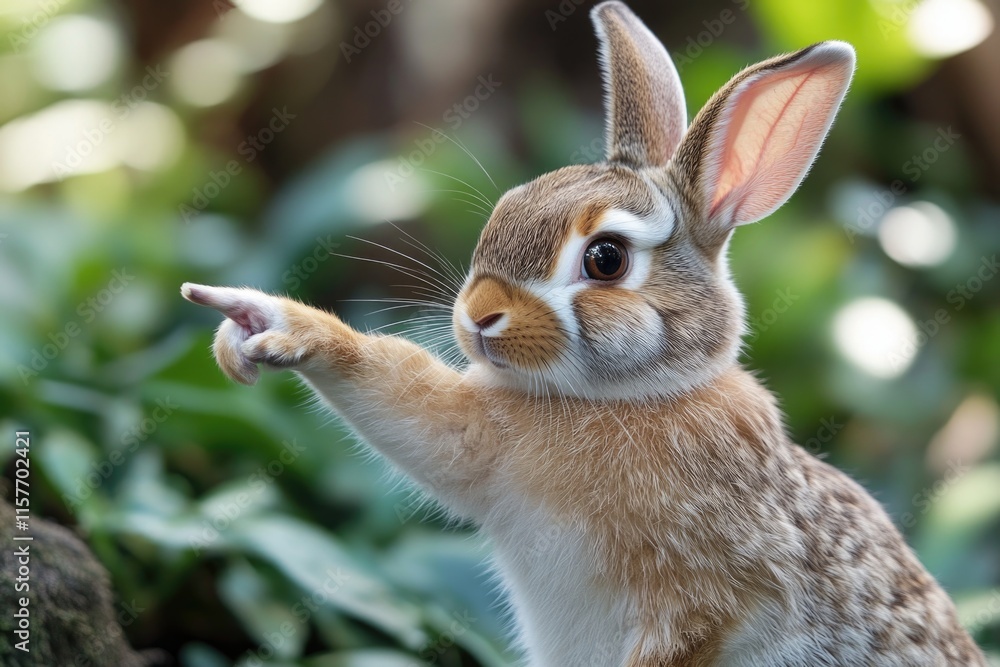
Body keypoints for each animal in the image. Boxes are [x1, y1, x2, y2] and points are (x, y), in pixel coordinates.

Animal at [181, 2, 987, 665]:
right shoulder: (479, 447)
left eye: (605, 259)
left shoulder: (708, 603)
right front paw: (261, 324)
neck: (619, 399)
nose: (478, 314)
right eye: (510, 204)